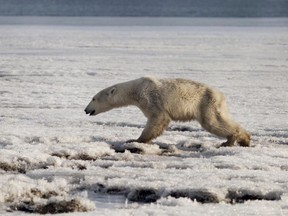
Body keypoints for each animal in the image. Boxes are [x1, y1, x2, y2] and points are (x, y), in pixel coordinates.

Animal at [84, 76, 251, 147]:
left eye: (93, 98)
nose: (86, 110)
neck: (135, 90)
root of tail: (220, 95)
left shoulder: (150, 98)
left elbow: (158, 118)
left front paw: (135, 140)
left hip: (206, 102)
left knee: (213, 122)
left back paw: (232, 140)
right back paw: (244, 139)